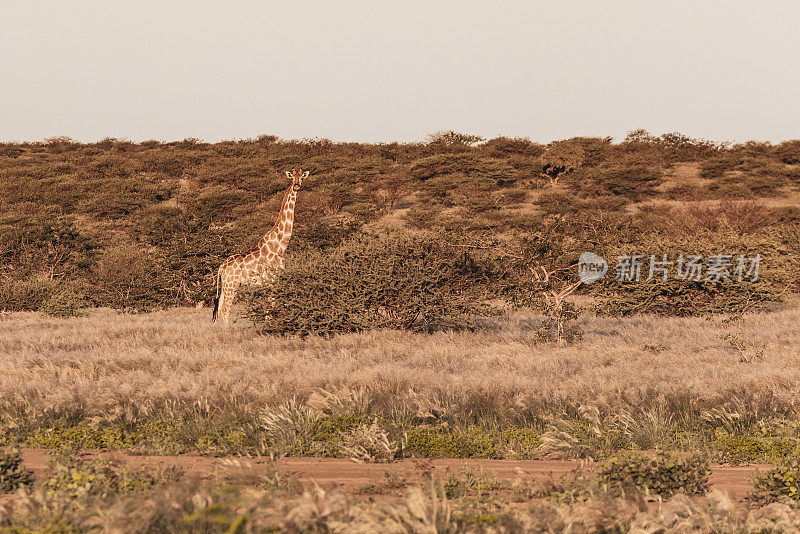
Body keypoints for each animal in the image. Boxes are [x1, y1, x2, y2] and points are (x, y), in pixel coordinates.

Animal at [211, 170, 308, 324]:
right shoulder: (272, 280)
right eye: (292, 178)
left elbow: (269, 309)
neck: (280, 246)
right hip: (231, 285)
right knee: (225, 311)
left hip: (226, 286)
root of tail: (221, 267)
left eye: (302, 177)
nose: (297, 186)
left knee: (219, 309)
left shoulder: (271, 282)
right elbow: (271, 308)